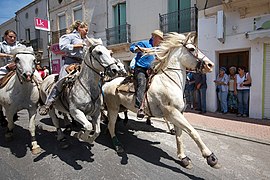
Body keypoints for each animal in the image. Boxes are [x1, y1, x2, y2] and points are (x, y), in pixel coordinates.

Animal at [101, 33, 219, 169]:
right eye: (192, 49)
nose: (210, 65)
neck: (169, 82)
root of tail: (107, 84)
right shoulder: (172, 113)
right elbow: (192, 131)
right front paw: (210, 157)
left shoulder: (178, 113)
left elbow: (179, 135)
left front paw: (183, 157)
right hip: (113, 108)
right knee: (111, 125)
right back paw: (117, 145)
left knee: (111, 122)